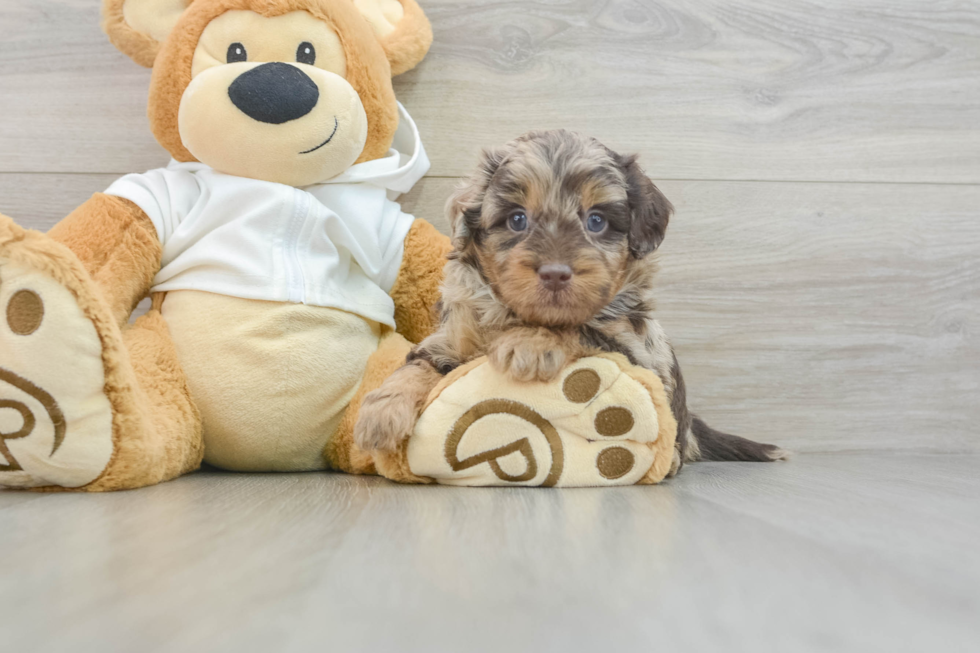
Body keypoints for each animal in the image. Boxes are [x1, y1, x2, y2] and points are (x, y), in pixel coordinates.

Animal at [356, 130, 784, 474]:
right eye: (517, 219)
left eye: (596, 220)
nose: (555, 273)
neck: (516, 313)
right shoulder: (451, 338)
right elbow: (418, 363)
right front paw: (380, 411)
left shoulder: (634, 351)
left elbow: (579, 327)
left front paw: (530, 342)